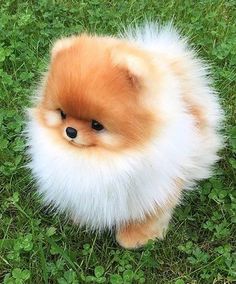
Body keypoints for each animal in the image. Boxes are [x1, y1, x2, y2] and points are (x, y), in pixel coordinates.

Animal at [26, 22, 223, 248]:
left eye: (97, 125)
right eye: (62, 114)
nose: (70, 131)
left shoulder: (156, 189)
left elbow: (149, 215)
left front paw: (136, 238)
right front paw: (79, 219)